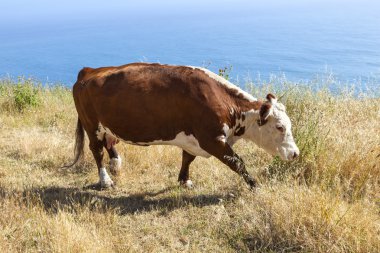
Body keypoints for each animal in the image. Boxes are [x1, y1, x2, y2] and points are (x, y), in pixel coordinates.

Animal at [68, 62, 300, 190]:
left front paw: (184, 181)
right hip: (91, 124)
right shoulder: (211, 139)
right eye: (280, 127)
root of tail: (88, 71)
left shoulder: (194, 139)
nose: (295, 153)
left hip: (108, 124)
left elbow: (187, 158)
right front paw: (255, 186)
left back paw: (116, 164)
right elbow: (238, 163)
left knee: (110, 143)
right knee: (97, 150)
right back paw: (105, 180)